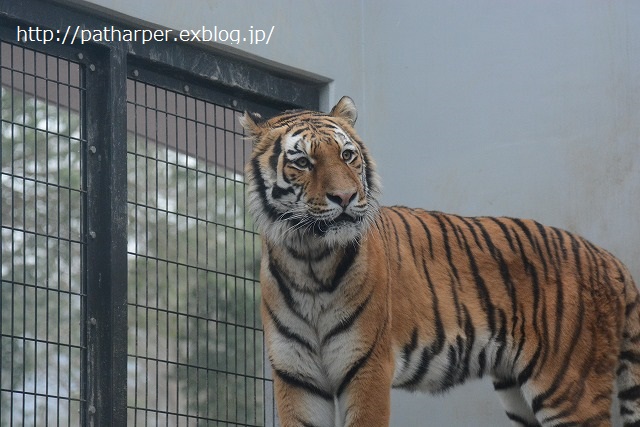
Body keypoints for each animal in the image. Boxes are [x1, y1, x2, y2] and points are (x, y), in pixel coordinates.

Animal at [240, 97, 640, 427]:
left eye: (347, 156)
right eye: (303, 162)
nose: (345, 197)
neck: (309, 257)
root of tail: (611, 260)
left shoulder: (367, 366)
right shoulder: (297, 375)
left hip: (569, 388)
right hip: (519, 392)